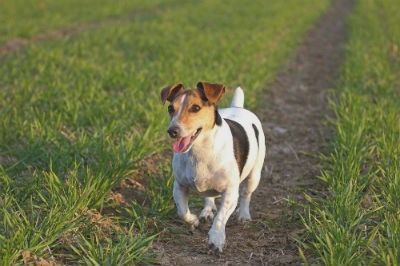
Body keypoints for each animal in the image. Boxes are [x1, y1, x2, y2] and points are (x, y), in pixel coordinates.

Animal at [159, 82, 266, 252]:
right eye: (170, 108)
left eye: (195, 108)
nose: (172, 131)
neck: (199, 152)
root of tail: (237, 107)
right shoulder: (179, 186)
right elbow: (182, 212)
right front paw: (193, 220)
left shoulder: (230, 193)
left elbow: (221, 217)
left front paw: (216, 239)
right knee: (209, 196)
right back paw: (207, 210)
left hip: (254, 175)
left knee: (246, 194)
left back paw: (243, 214)